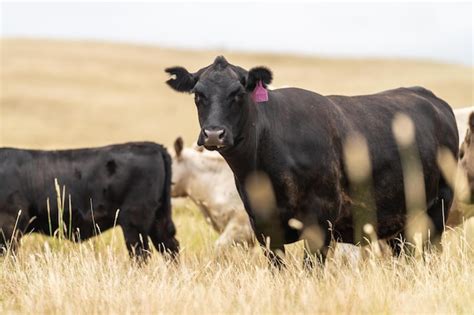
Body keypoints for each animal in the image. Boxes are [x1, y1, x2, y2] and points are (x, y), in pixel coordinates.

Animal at [0, 142, 178, 260]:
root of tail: (154, 146)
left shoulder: (10, 225)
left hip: (135, 221)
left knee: (141, 253)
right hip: (158, 218)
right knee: (170, 247)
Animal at [167, 56, 460, 270]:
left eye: (238, 93)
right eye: (198, 94)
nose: (213, 134)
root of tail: (430, 98)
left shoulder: (320, 221)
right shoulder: (262, 225)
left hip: (438, 207)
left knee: (430, 251)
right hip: (399, 216)